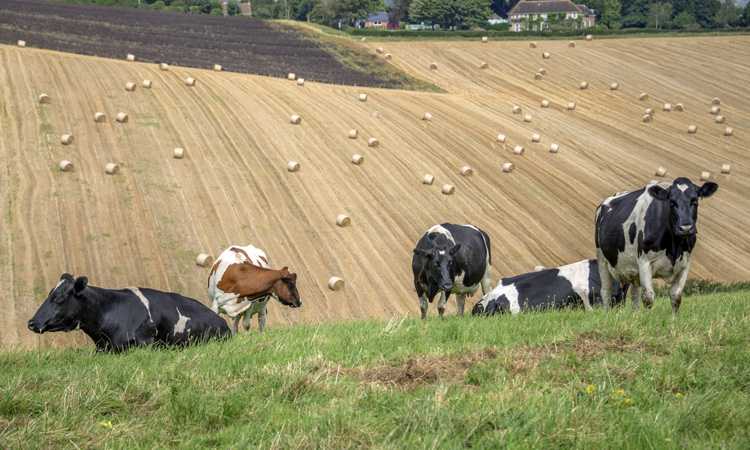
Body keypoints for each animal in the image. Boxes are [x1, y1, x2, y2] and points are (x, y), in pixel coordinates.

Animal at [596, 178, 720, 314]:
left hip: (634, 270)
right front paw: (648, 318)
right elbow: (648, 298)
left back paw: (635, 314)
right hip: (602, 260)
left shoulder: (685, 264)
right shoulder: (644, 262)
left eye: (695, 201)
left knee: (634, 294)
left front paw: (674, 319)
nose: (686, 228)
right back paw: (606, 314)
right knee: (606, 291)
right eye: (671, 203)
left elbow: (676, 298)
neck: (674, 248)